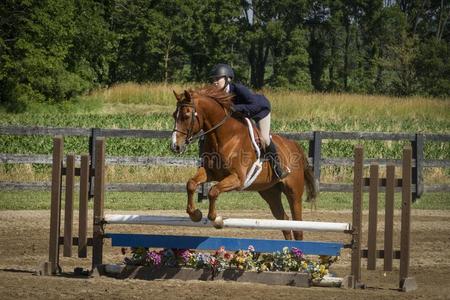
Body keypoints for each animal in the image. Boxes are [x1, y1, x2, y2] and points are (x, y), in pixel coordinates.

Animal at [170, 85, 316, 240]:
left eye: (186, 116)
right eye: (174, 115)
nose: (175, 146)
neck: (224, 137)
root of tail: (294, 145)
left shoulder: (238, 178)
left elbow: (213, 191)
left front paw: (216, 218)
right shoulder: (210, 172)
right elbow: (191, 184)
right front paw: (195, 214)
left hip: (294, 192)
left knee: (297, 226)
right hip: (270, 192)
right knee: (285, 222)